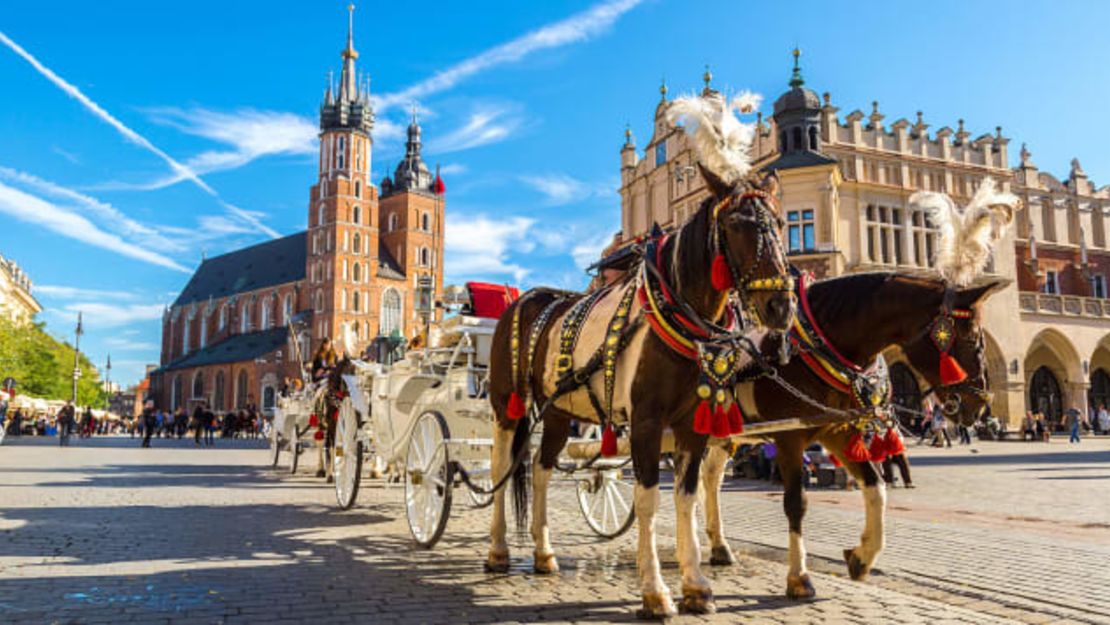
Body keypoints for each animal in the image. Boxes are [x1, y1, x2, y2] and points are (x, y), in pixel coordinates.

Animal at [488, 159, 799, 617]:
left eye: (780, 223)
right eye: (735, 224)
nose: (781, 306)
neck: (677, 315)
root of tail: (525, 299)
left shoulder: (692, 425)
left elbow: (686, 497)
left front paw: (696, 585)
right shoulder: (647, 422)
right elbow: (648, 498)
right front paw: (655, 591)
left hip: (559, 411)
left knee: (542, 469)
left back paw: (544, 554)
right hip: (506, 405)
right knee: (500, 467)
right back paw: (497, 551)